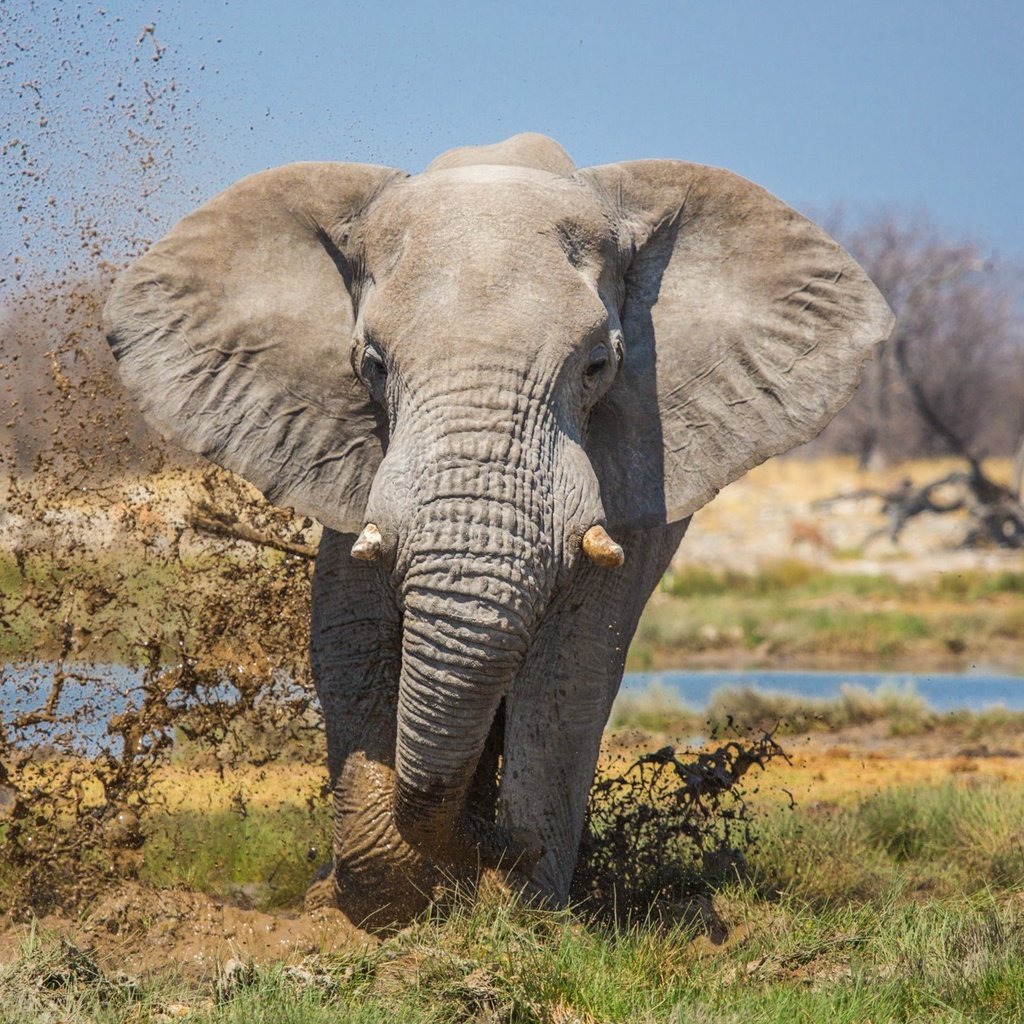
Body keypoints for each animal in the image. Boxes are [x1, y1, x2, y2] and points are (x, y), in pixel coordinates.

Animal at [99, 132, 892, 925]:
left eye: (599, 365)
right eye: (372, 365)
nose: (502, 843)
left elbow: (573, 666)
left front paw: (519, 906)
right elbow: (350, 636)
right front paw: (388, 894)